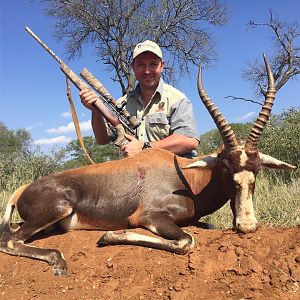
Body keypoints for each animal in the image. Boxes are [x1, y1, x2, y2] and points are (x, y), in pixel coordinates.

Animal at [0, 55, 296, 276]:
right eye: (226, 167)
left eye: (256, 169)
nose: (247, 225)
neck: (187, 179)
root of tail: (22, 190)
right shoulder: (151, 217)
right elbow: (187, 240)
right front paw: (109, 236)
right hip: (56, 210)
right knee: (11, 239)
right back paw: (58, 261)